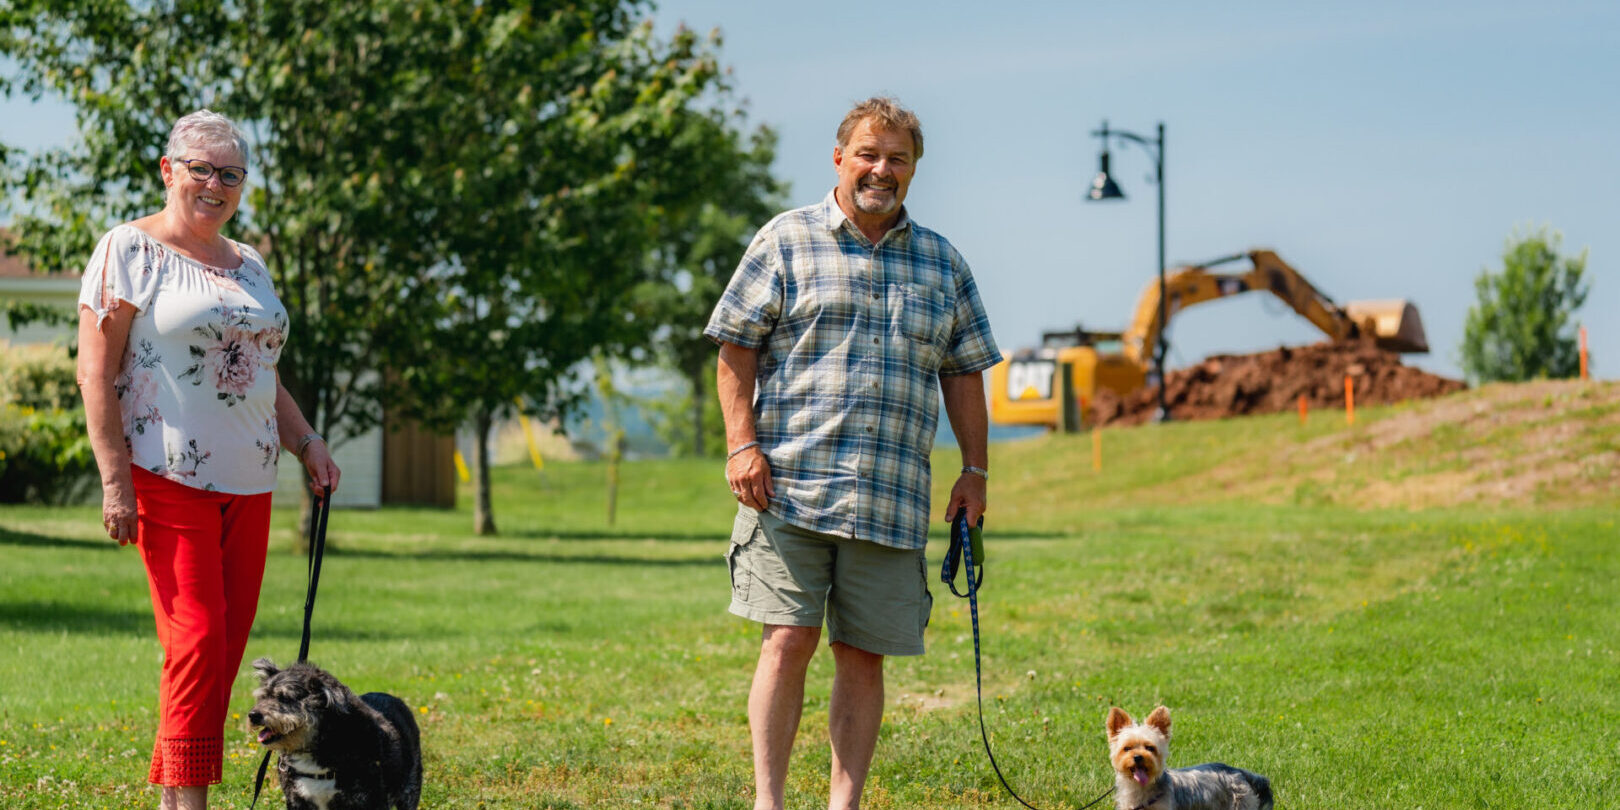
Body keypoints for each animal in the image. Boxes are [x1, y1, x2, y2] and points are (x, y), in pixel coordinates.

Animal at [246, 657, 421, 810]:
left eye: (285, 697)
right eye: (263, 697)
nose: (253, 715)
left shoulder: (374, 801)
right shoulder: (296, 800)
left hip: (410, 790)